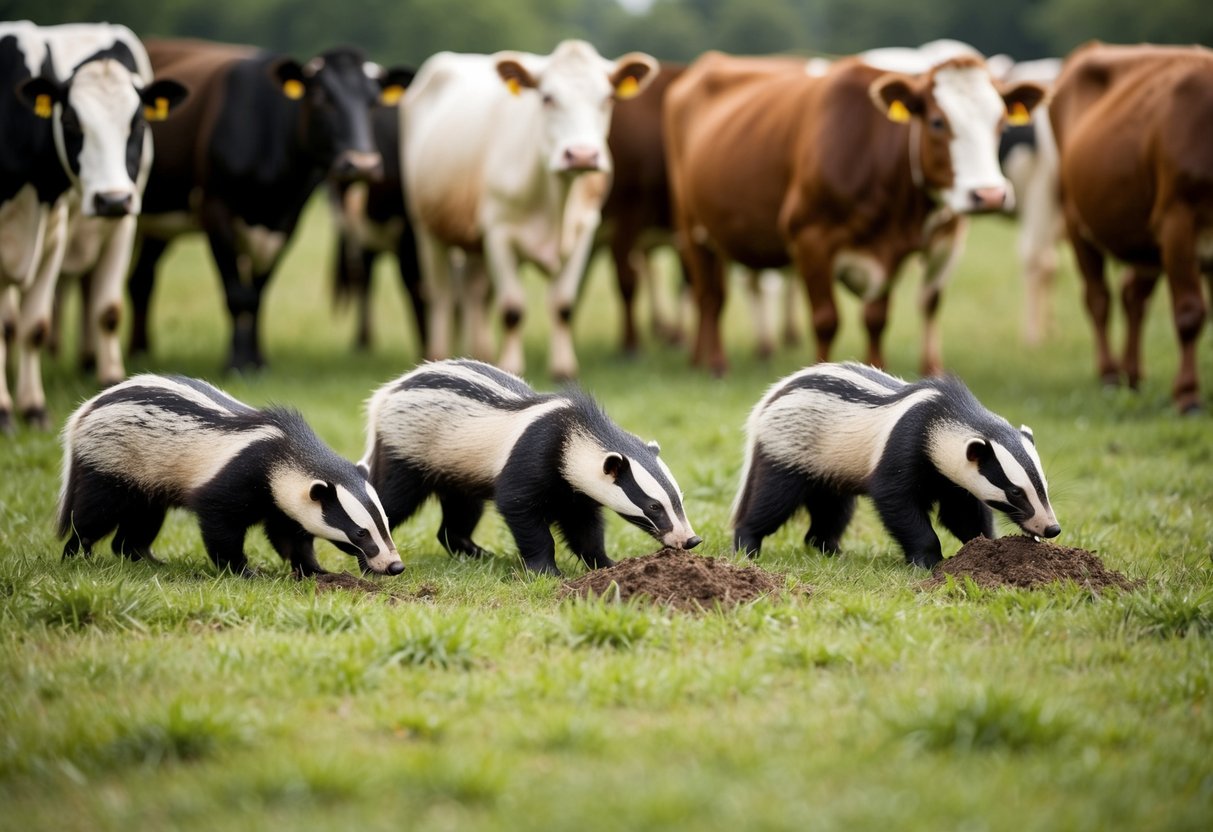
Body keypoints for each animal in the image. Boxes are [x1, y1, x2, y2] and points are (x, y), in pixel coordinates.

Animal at [0, 21, 185, 432]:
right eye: (70, 122)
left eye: (139, 123)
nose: (111, 199)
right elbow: (7, 327)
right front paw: (5, 411)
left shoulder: (64, 234)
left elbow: (51, 322)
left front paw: (35, 407)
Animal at [129, 38, 410, 372]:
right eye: (320, 96)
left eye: (373, 102)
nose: (362, 164)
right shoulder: (215, 210)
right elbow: (238, 294)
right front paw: (237, 363)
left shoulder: (286, 221)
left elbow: (258, 293)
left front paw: (257, 359)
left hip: (158, 228)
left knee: (142, 278)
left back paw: (143, 350)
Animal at [402, 40, 658, 379]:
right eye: (547, 97)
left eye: (607, 98)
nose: (582, 155)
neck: (555, 198)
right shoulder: (498, 235)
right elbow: (512, 309)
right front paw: (512, 366)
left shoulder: (584, 234)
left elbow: (563, 306)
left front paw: (563, 367)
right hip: (427, 229)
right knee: (442, 295)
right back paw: (437, 354)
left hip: (472, 242)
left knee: (472, 294)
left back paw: (480, 353)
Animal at [664, 51, 1045, 376]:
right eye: (938, 122)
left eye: (1001, 124)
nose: (990, 194)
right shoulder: (811, 239)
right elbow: (826, 320)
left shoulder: (892, 250)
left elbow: (876, 319)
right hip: (691, 228)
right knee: (710, 298)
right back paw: (715, 363)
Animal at [1049, 42, 1213, 413]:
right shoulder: (1177, 218)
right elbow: (1189, 312)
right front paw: (1188, 395)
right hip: (1077, 222)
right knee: (1099, 299)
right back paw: (1110, 374)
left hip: (1144, 241)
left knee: (1133, 297)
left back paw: (1133, 374)